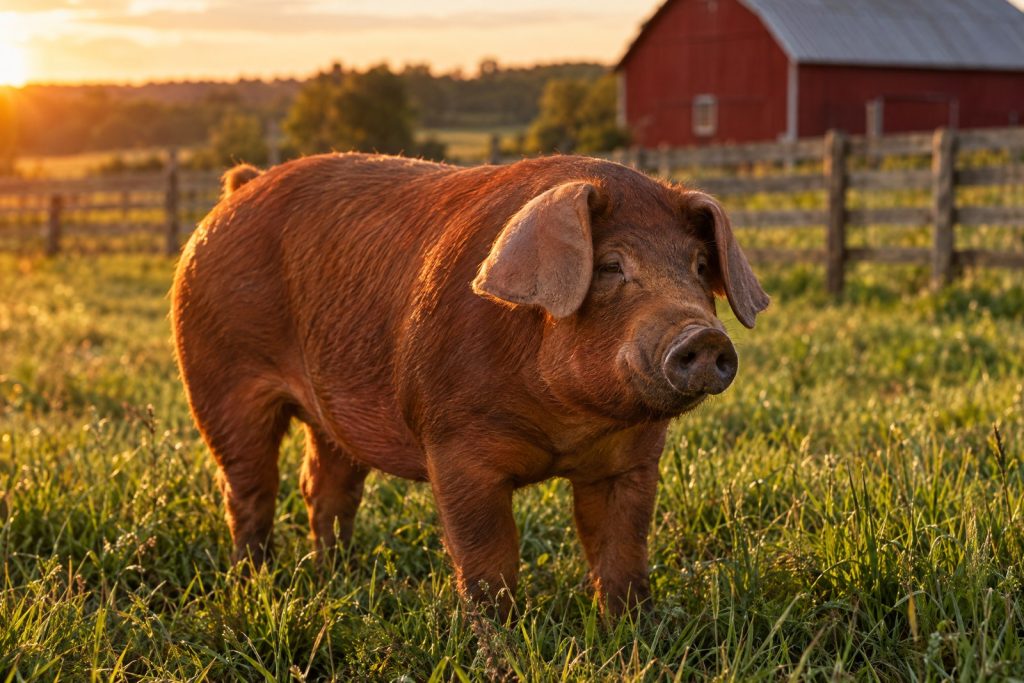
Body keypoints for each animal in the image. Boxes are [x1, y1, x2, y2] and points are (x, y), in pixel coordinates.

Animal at [171, 153, 768, 616]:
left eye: (699, 266)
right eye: (611, 266)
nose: (704, 337)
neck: (566, 425)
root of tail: (242, 185)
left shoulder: (633, 461)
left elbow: (622, 552)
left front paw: (629, 630)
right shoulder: (453, 444)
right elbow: (489, 557)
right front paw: (499, 635)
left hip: (330, 410)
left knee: (325, 489)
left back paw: (337, 576)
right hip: (218, 381)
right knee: (250, 488)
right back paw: (255, 581)